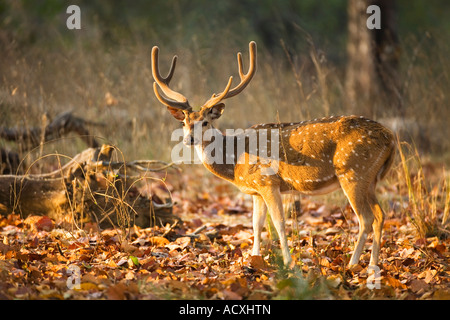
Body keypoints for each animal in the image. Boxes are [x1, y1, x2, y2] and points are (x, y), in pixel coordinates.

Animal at [150, 42, 394, 268]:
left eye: (205, 122)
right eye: (183, 122)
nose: (189, 139)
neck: (235, 161)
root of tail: (390, 136)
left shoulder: (268, 181)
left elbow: (278, 222)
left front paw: (288, 262)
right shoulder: (256, 190)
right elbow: (256, 223)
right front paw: (254, 258)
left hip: (352, 171)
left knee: (366, 218)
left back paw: (353, 264)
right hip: (369, 179)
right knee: (380, 215)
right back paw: (373, 265)